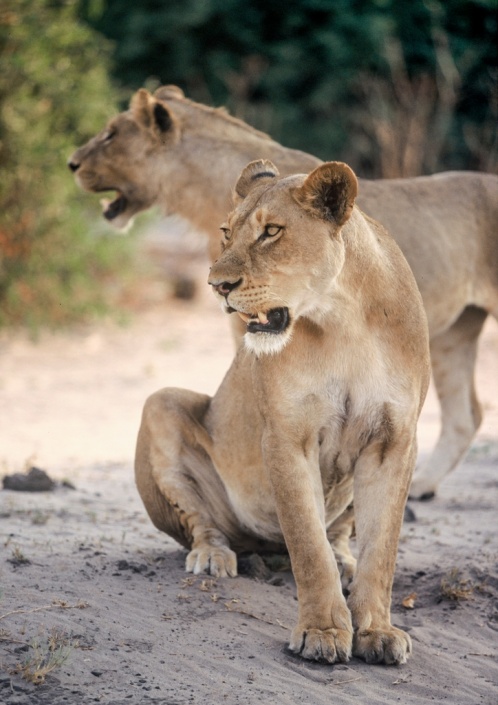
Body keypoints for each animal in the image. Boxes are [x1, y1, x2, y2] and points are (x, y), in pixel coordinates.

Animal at [134, 159, 431, 665]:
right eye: (226, 233)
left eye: (271, 232)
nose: (217, 285)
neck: (343, 321)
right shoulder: (288, 436)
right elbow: (307, 545)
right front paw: (323, 631)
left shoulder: (395, 442)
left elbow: (381, 550)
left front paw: (377, 631)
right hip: (162, 402)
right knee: (202, 525)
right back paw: (213, 557)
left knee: (340, 535)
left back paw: (344, 562)